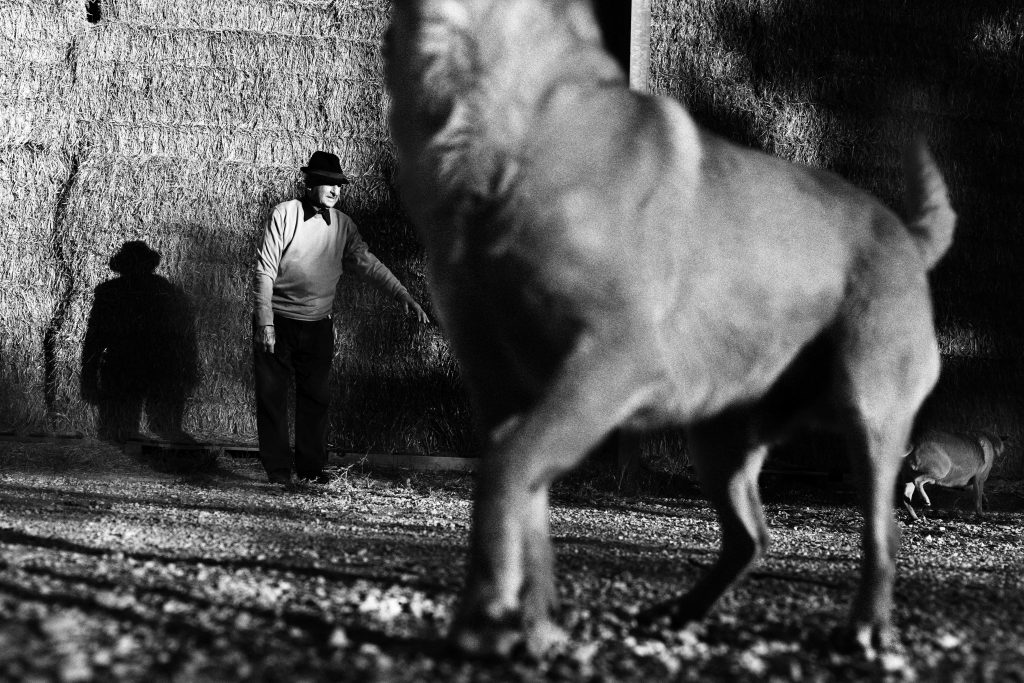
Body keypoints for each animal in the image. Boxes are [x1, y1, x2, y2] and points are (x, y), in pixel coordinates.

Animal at [380, 0, 954, 655]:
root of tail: (909, 237)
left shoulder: (609, 365)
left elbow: (505, 475)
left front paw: (485, 615)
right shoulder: (505, 391)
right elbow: (525, 507)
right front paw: (534, 623)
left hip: (871, 417)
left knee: (883, 536)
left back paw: (866, 625)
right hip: (718, 439)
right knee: (750, 537)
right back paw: (680, 612)